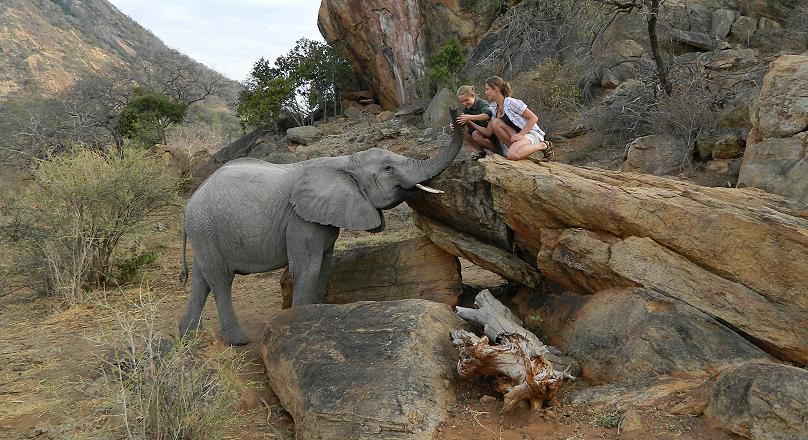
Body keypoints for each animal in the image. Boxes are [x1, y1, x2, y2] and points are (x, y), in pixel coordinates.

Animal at [180, 109, 464, 344]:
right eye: (389, 169)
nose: (456, 112)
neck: (344, 161)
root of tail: (190, 202)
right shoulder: (300, 219)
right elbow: (307, 268)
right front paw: (296, 325)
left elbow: (325, 267)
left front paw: (317, 318)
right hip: (206, 228)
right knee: (220, 279)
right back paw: (237, 340)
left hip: (203, 232)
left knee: (202, 279)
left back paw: (187, 336)